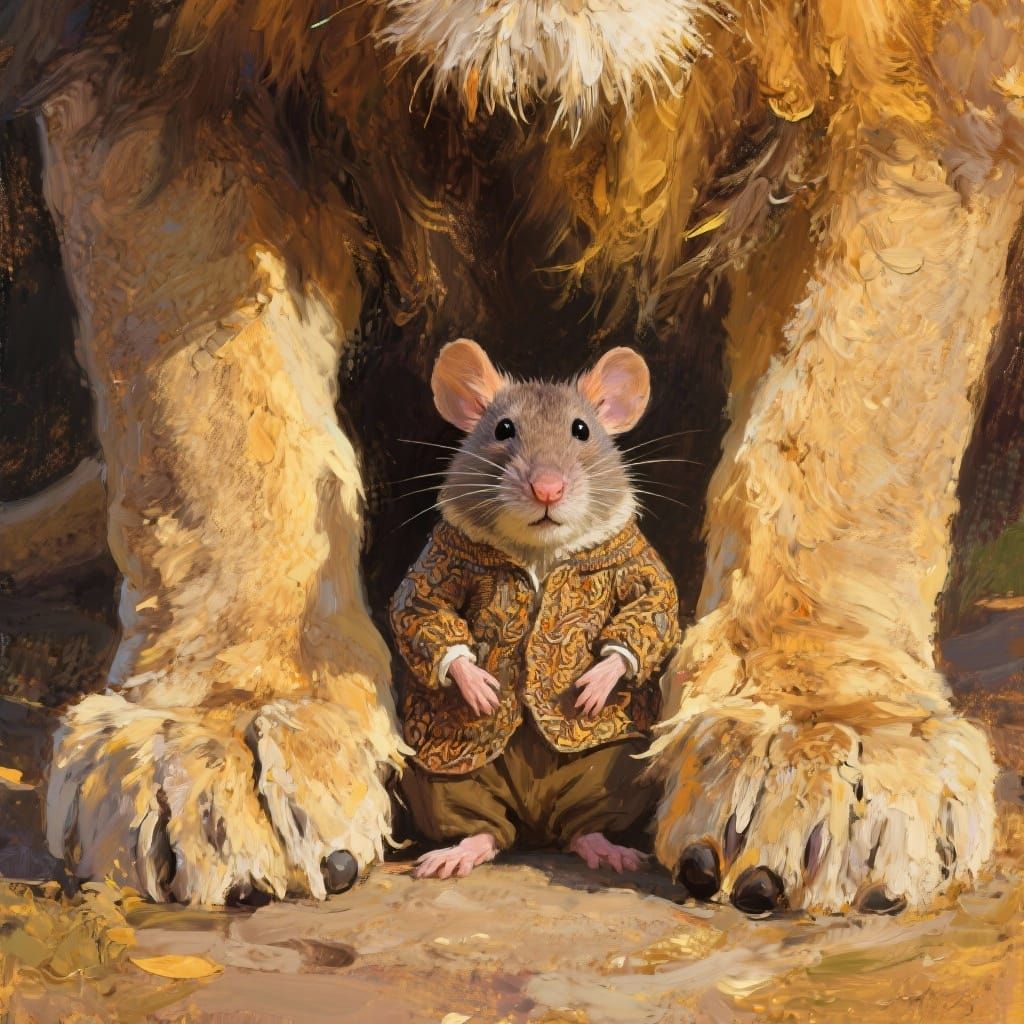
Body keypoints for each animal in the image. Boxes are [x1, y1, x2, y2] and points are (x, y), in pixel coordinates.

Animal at [1, 0, 1020, 912]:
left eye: (580, 435)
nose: (546, 484)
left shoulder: (924, 80)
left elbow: (850, 404)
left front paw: (824, 730)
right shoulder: (154, 63)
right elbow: (212, 413)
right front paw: (224, 725)